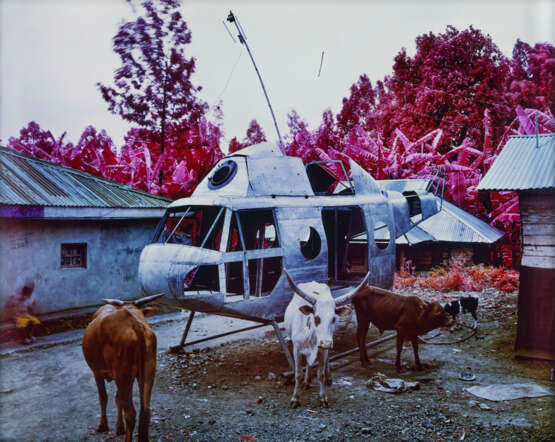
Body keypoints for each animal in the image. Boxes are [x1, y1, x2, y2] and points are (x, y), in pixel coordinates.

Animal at [82, 294, 164, 442]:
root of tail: (135, 324)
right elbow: (117, 399)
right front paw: (119, 428)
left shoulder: (97, 372)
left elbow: (103, 397)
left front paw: (103, 426)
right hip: (148, 371)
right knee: (145, 410)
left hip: (123, 376)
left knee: (131, 413)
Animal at [284, 270, 372, 408]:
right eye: (316, 318)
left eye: (334, 318)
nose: (326, 343)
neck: (312, 337)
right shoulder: (297, 348)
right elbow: (298, 374)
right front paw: (295, 398)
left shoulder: (322, 349)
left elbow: (321, 373)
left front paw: (323, 397)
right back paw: (307, 381)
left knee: (325, 362)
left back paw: (328, 378)